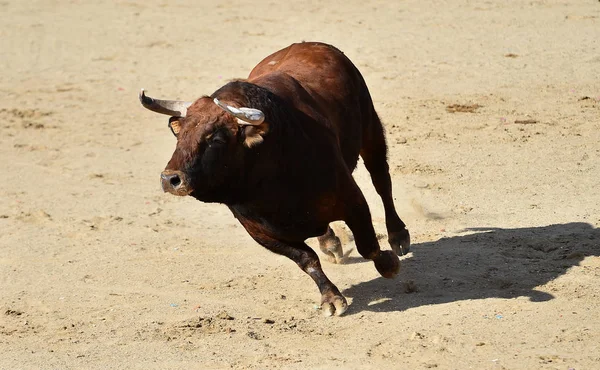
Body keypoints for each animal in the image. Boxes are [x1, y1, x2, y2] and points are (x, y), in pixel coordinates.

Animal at [140, 42, 410, 316]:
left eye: (216, 138)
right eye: (180, 134)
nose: (170, 179)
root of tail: (308, 45)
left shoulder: (352, 200)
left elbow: (368, 245)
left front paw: (388, 264)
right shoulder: (262, 232)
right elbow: (307, 260)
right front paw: (331, 298)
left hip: (370, 129)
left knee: (381, 181)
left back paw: (398, 236)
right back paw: (330, 242)